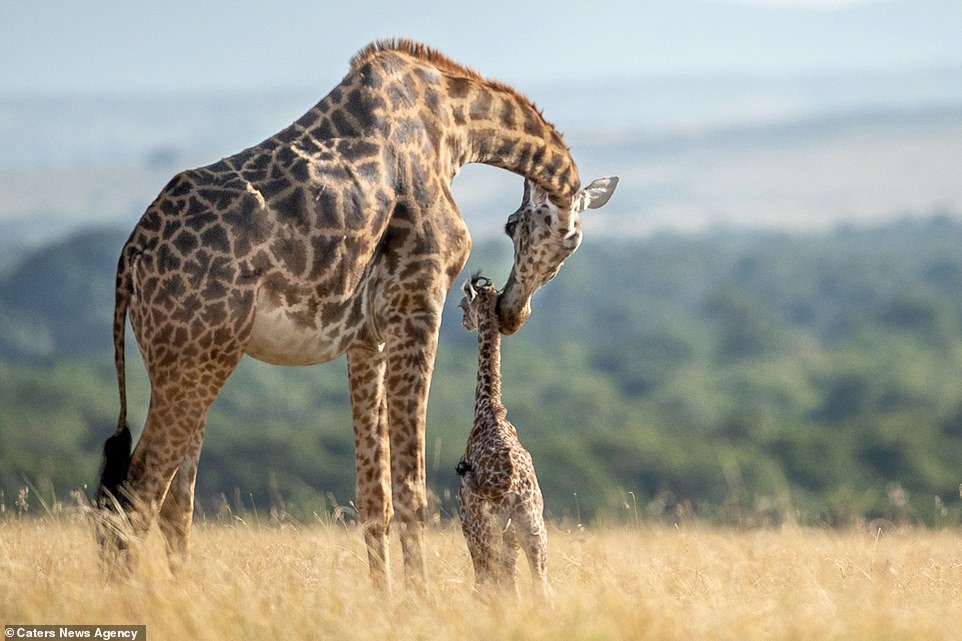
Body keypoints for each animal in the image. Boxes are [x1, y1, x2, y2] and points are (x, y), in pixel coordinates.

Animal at [458, 276, 548, 600]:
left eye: (462, 305)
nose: (464, 322)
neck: (489, 408)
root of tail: (511, 494)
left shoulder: (467, 520)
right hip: (533, 530)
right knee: (540, 587)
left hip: (489, 530)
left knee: (490, 580)